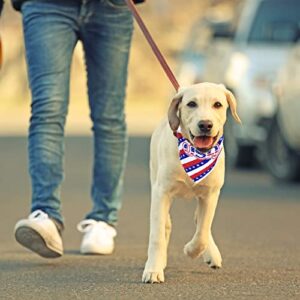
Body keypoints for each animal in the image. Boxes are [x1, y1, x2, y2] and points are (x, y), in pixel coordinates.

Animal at [143, 82, 241, 284]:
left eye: (218, 104)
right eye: (191, 104)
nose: (205, 124)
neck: (195, 154)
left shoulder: (211, 194)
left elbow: (203, 231)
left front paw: (191, 250)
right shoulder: (161, 192)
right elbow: (157, 235)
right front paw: (154, 269)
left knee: (201, 221)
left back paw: (212, 254)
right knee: (166, 224)